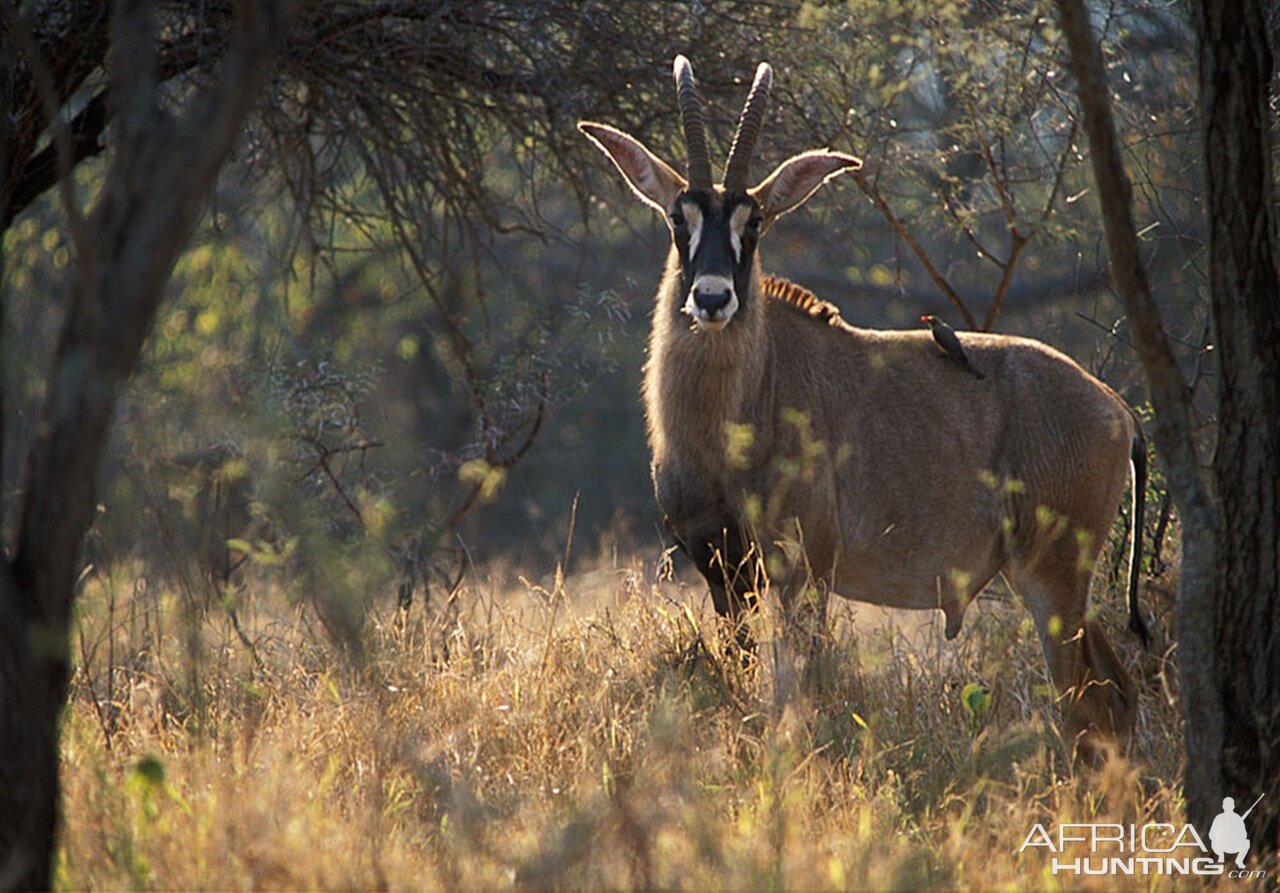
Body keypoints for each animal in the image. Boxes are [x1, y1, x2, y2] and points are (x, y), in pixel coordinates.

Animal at [581, 55, 1152, 752]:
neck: (744, 402)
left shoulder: (803, 571)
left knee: (1084, 704)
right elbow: (743, 681)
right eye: (677, 218)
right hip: (1060, 586)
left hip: (1052, 578)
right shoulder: (723, 572)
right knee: (1116, 694)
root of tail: (1120, 414)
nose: (712, 298)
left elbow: (796, 692)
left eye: (755, 222)